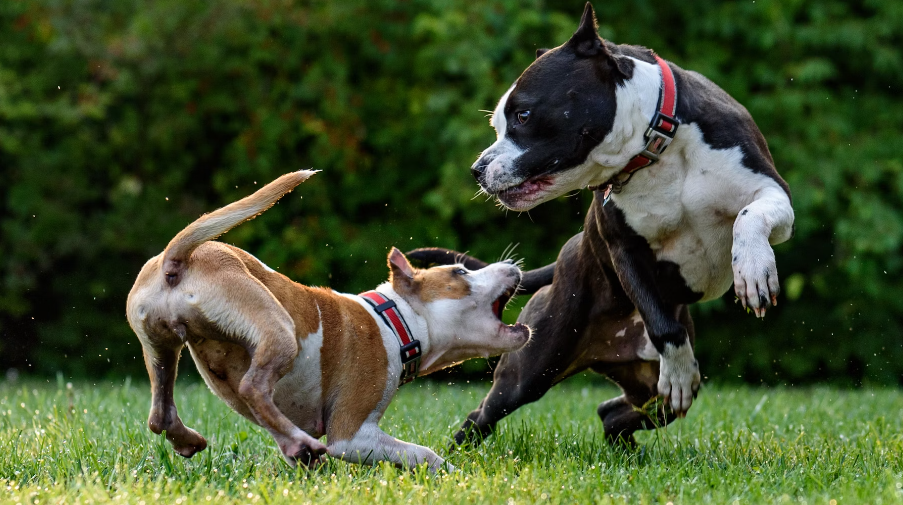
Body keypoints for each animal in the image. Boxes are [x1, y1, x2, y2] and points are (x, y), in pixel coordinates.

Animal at [123, 170, 528, 468]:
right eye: (460, 272)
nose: (512, 264)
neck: (395, 319)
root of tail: (177, 259)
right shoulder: (352, 435)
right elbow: (425, 455)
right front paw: (451, 475)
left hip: (160, 347)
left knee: (161, 414)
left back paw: (201, 440)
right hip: (277, 328)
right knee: (253, 386)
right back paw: (299, 442)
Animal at [410, 3, 792, 444]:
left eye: (523, 115)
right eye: (498, 125)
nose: (477, 169)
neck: (656, 147)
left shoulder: (773, 192)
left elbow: (750, 215)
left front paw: (754, 269)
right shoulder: (623, 248)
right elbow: (663, 326)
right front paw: (679, 371)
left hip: (646, 389)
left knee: (615, 411)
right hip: (532, 367)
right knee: (484, 414)